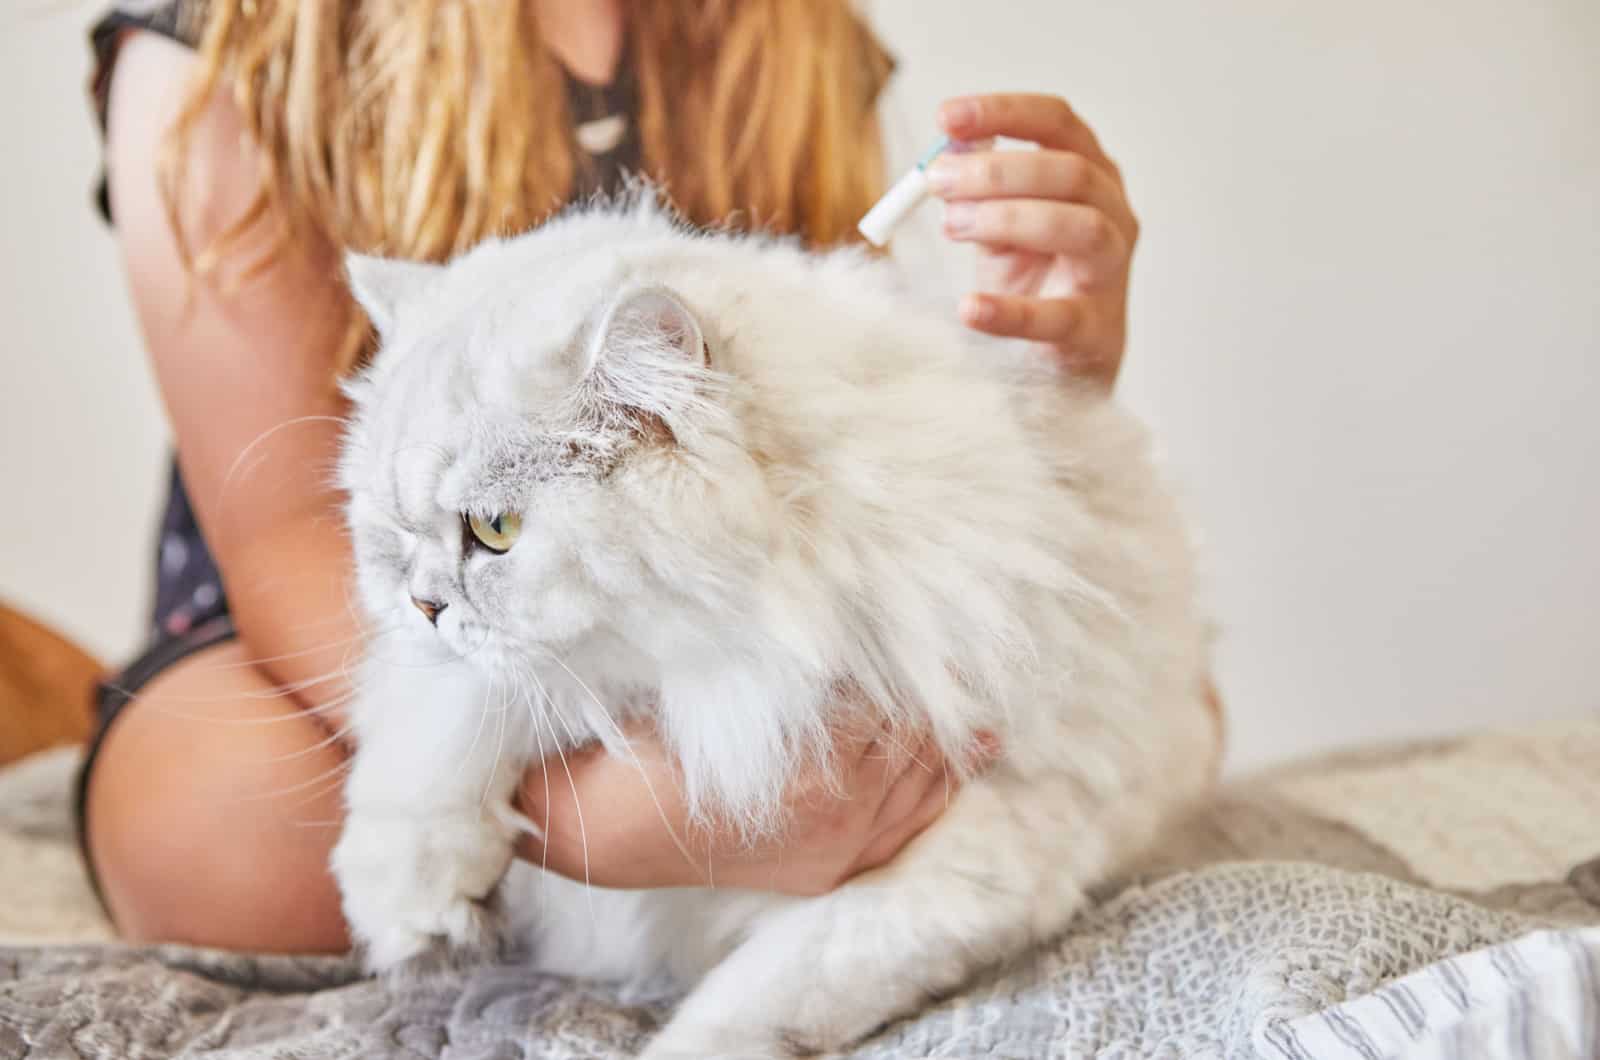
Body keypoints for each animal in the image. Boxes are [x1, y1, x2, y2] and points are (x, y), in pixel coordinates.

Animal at [331, 199, 1216, 1060]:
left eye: (496, 530)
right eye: (392, 531)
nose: (421, 603)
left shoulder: (988, 845)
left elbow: (754, 1001)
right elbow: (444, 723)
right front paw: (414, 912)